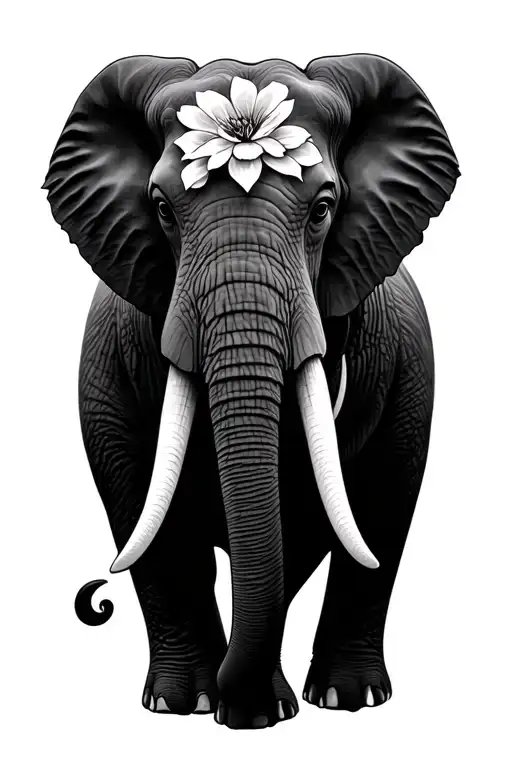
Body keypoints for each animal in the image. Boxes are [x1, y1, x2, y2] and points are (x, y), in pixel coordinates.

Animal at [43, 53, 459, 730]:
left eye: (323, 209)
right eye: (161, 208)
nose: (92, 599)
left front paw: (262, 713)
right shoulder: (107, 371)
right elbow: (141, 503)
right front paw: (187, 706)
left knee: (380, 508)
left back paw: (347, 700)